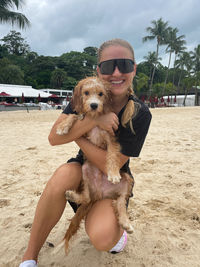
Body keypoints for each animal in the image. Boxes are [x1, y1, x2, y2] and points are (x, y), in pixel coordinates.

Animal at [56, 77, 134, 253]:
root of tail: (100, 193)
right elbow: (74, 116)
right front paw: (63, 126)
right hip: (85, 170)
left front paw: (113, 173)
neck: (95, 118)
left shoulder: (111, 138)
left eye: (101, 94)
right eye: (86, 93)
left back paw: (125, 222)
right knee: (86, 197)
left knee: (120, 203)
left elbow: (112, 155)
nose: (93, 105)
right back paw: (72, 195)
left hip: (126, 180)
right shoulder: (84, 129)